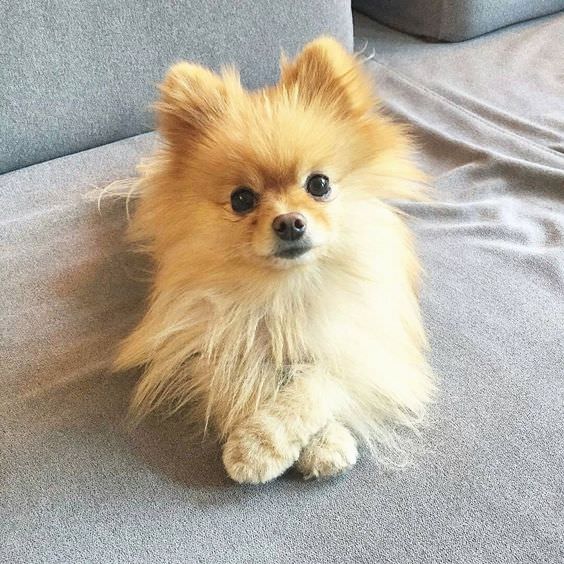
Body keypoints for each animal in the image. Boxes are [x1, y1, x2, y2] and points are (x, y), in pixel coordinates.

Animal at [113, 36, 432, 484]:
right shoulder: (206, 337)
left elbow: (317, 382)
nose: (289, 222)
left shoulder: (362, 342)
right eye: (242, 199)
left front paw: (315, 442)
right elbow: (249, 379)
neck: (285, 288)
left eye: (319, 184)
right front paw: (259, 447)